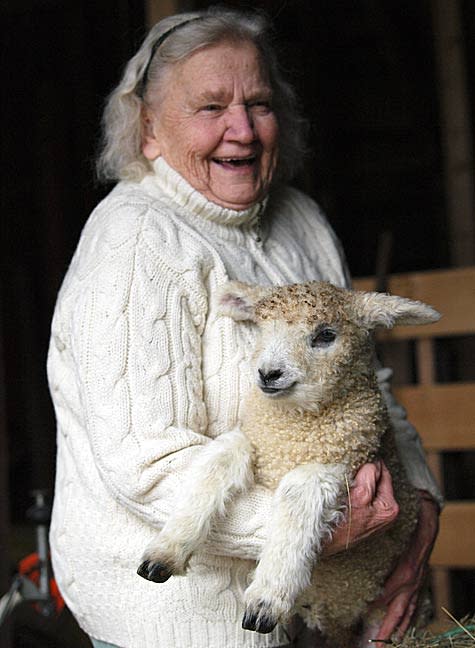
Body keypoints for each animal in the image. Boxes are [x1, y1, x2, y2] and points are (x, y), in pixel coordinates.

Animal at [138, 280, 442, 644]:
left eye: (325, 335)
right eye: (261, 327)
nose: (268, 373)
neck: (292, 429)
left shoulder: (340, 466)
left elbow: (299, 495)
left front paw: (267, 599)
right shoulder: (257, 444)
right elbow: (221, 456)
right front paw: (166, 550)